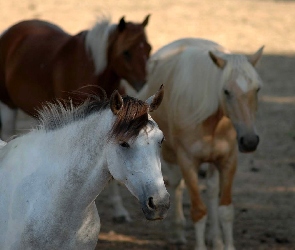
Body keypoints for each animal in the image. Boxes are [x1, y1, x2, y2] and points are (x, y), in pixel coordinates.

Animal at [122, 37, 264, 250]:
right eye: (226, 91)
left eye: (257, 89)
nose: (249, 141)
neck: (210, 122)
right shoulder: (187, 162)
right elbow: (198, 211)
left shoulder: (228, 160)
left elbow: (225, 210)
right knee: (176, 184)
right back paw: (178, 232)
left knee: (211, 191)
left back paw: (216, 239)